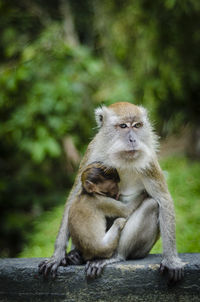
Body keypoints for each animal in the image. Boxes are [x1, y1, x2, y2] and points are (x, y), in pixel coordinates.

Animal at [39, 102, 184, 282]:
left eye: (137, 126)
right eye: (123, 126)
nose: (133, 139)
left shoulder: (149, 160)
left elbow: (163, 200)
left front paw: (171, 260)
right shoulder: (92, 151)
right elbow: (74, 197)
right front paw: (57, 256)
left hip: (141, 249)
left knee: (151, 205)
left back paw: (115, 256)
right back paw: (76, 255)